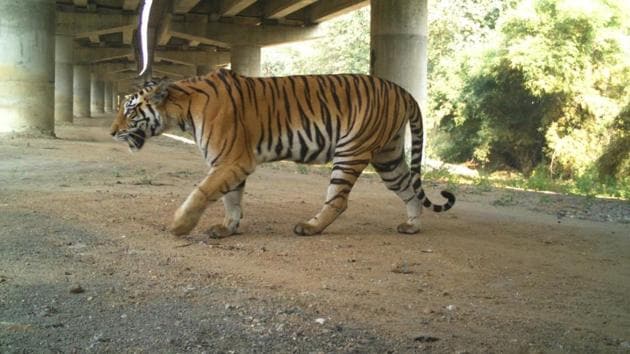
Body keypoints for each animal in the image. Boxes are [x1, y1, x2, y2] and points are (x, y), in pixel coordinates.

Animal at [111, 68, 456, 236]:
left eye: (129, 110)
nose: (112, 132)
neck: (182, 109)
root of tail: (401, 89)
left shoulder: (232, 160)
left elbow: (202, 192)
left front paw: (179, 226)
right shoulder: (229, 164)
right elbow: (231, 199)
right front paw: (227, 229)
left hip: (351, 150)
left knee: (339, 200)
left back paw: (311, 227)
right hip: (388, 156)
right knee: (408, 188)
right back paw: (412, 226)